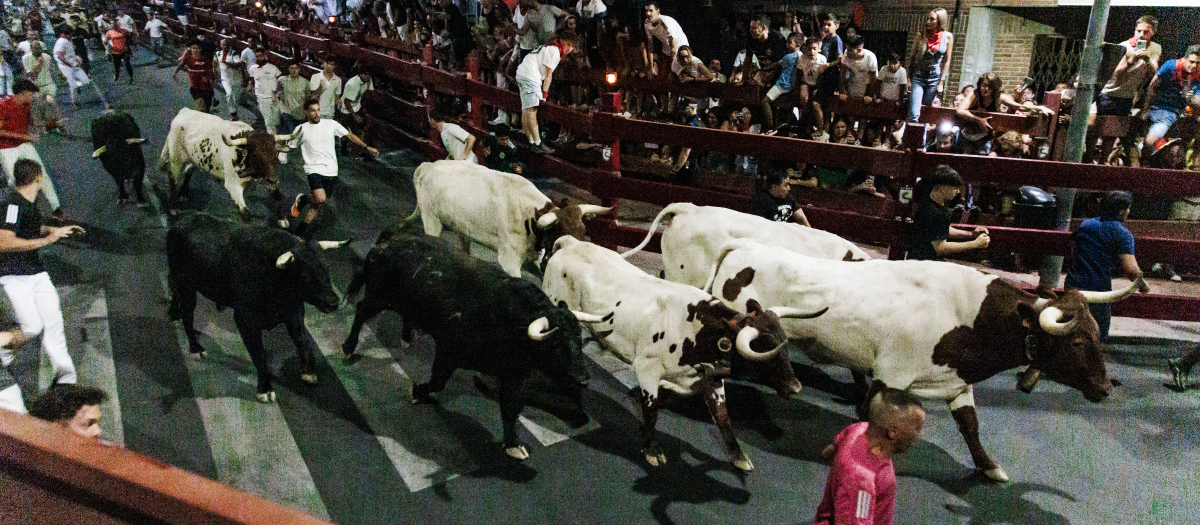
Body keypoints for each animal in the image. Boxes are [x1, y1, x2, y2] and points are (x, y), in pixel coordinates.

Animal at [159, 106, 292, 221]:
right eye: (255, 155)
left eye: (275, 154)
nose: (273, 180)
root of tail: (185, 111)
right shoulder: (232, 184)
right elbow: (246, 214)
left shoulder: (266, 175)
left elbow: (277, 195)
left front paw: (283, 219)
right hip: (176, 158)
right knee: (173, 178)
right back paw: (174, 207)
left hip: (195, 158)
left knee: (188, 171)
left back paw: (184, 193)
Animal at [340, 230, 604, 460]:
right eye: (557, 344)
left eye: (579, 340)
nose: (583, 379)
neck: (511, 323)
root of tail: (391, 238)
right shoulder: (447, 352)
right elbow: (437, 381)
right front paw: (417, 392)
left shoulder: (513, 375)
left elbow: (510, 408)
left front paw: (513, 444)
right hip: (379, 297)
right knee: (361, 310)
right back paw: (348, 348)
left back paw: (406, 336)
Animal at [542, 237, 825, 472]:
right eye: (763, 347)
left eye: (784, 346)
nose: (796, 387)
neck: (699, 330)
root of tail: (571, 243)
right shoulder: (646, 369)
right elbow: (651, 411)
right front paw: (651, 450)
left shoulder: (711, 380)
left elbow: (723, 418)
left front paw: (738, 456)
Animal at [705, 239, 1147, 481]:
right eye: (1077, 342)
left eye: (1097, 334)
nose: (1104, 388)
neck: (967, 315)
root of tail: (745, 246)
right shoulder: (891, 375)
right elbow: (869, 414)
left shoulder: (957, 381)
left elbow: (970, 426)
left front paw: (989, 466)